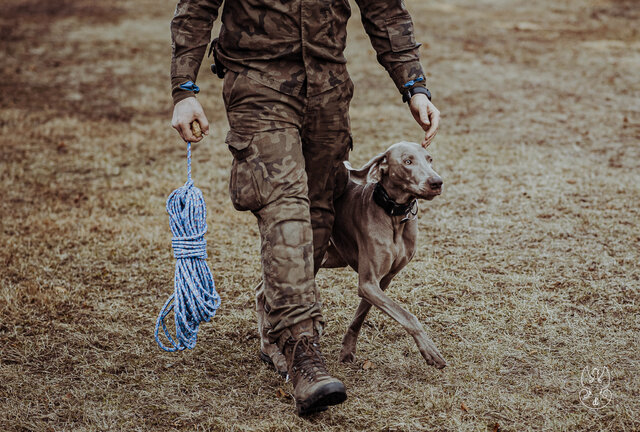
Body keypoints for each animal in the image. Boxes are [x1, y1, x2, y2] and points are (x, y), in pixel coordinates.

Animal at [258, 142, 448, 374]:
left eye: (429, 159)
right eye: (407, 161)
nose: (436, 182)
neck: (393, 216)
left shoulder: (381, 281)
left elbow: (360, 315)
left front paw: (347, 349)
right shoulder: (368, 283)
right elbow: (408, 316)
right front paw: (429, 350)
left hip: (327, 256)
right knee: (264, 292)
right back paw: (272, 350)